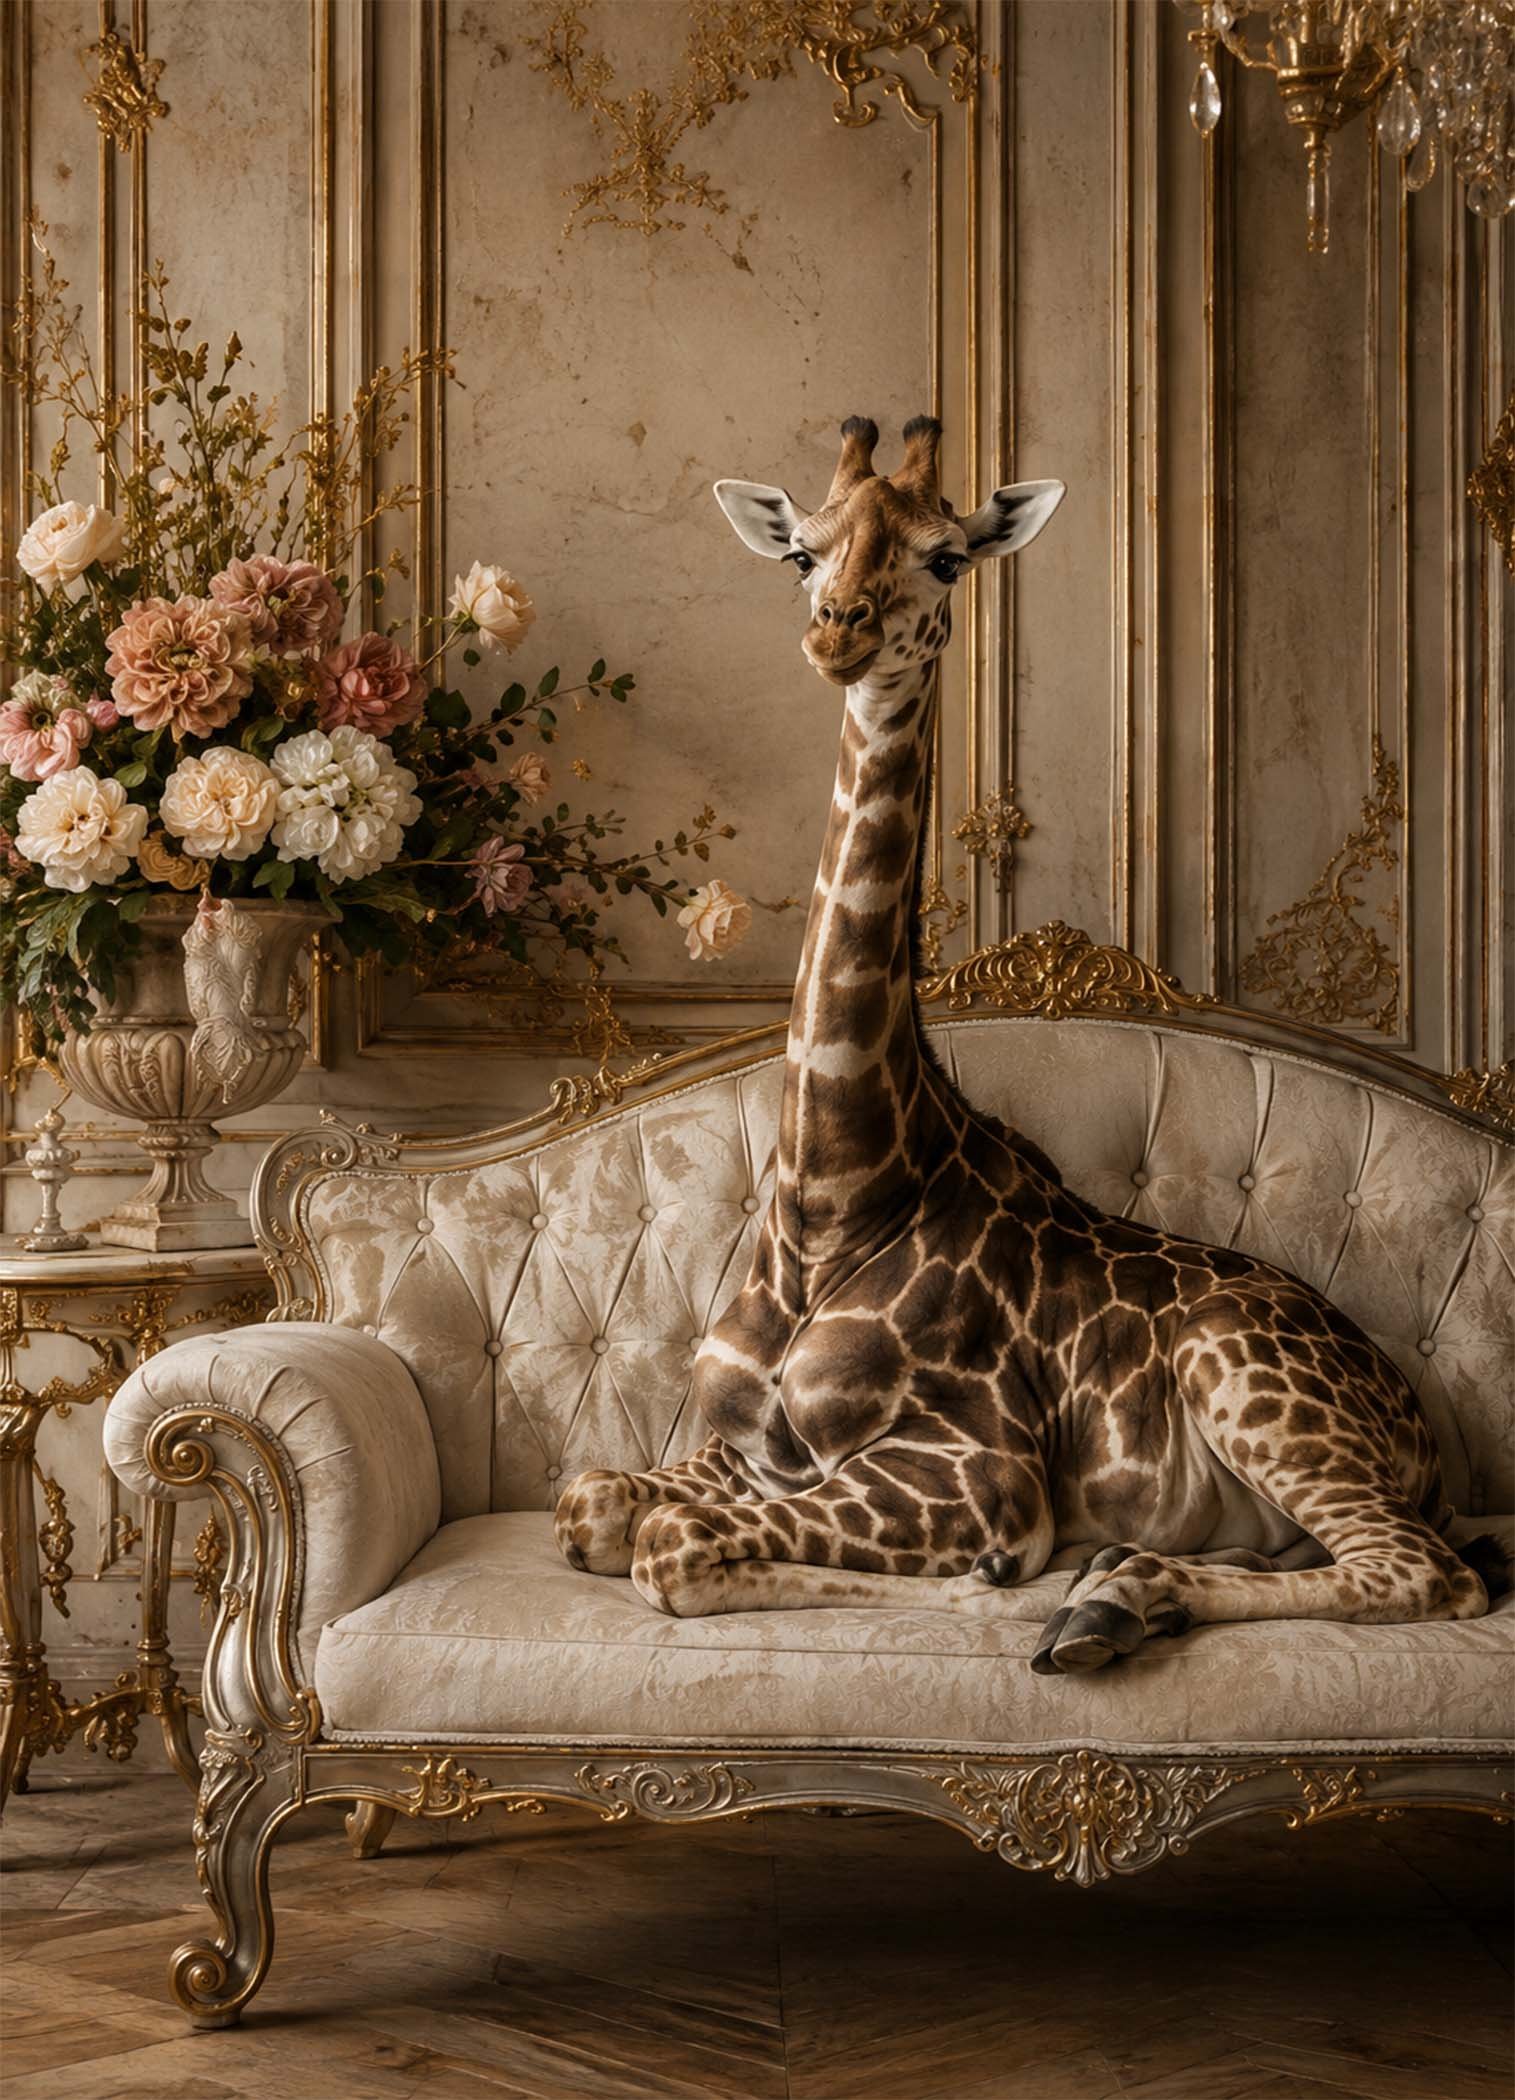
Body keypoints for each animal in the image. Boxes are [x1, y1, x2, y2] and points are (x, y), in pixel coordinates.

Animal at [555, 415, 1508, 1673]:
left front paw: (1006, 1588)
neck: (831, 1192)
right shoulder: (740, 1448)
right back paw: (1124, 1590)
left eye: (947, 556)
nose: (839, 631)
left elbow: (669, 1546)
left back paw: (1106, 1595)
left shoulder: (978, 1471)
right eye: (802, 551)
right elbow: (589, 1504)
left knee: (1428, 1571)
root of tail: (1423, 1431)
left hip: (1250, 1385)